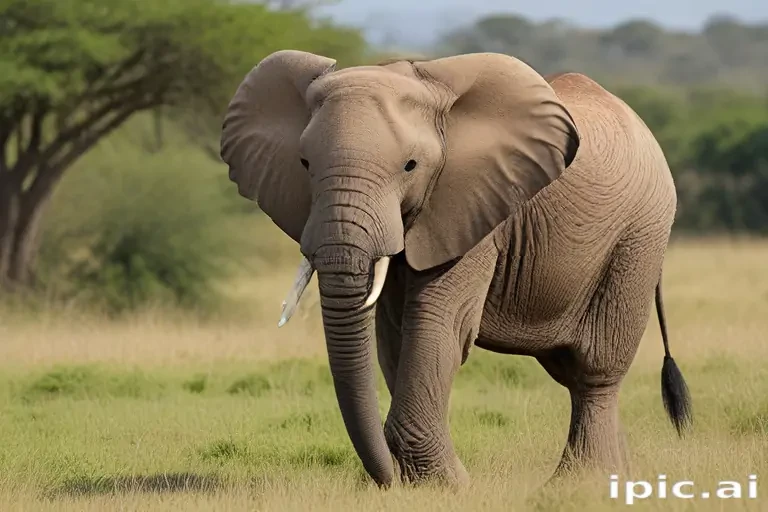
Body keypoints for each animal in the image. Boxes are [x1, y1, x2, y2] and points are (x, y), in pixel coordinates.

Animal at [219, 50, 693, 488]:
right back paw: (617, 477)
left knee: (595, 371)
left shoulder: (475, 204)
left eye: (410, 165)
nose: (386, 480)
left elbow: (439, 324)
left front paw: (444, 487)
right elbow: (395, 332)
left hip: (640, 236)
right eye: (304, 164)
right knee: (570, 373)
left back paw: (581, 483)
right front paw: (422, 482)